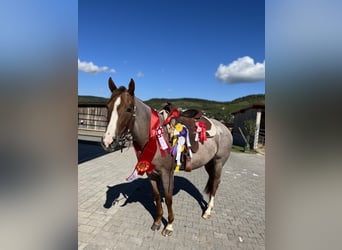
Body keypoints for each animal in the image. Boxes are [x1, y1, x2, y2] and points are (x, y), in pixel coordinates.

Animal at [101, 77, 232, 236]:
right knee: (213, 181)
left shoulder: (166, 173)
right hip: (209, 163)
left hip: (218, 163)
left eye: (129, 109)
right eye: (108, 106)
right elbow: (157, 197)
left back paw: (207, 211)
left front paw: (169, 225)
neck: (154, 137)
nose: (108, 141)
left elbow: (168, 198)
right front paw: (157, 222)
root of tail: (225, 128)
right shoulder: (151, 173)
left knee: (215, 183)